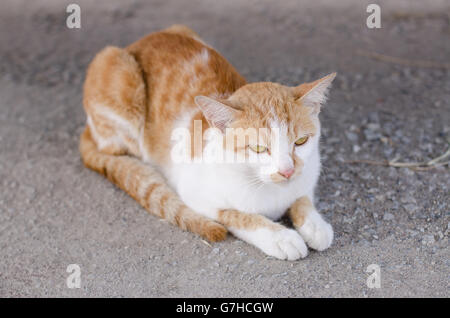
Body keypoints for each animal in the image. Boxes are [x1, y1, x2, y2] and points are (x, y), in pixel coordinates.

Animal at [80, 24, 334, 258]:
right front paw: (280, 237)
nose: (287, 171)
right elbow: (238, 215)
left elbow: (302, 198)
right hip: (118, 73)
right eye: (258, 148)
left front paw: (315, 225)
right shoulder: (195, 194)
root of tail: (138, 42)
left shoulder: (306, 175)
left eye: (301, 141)